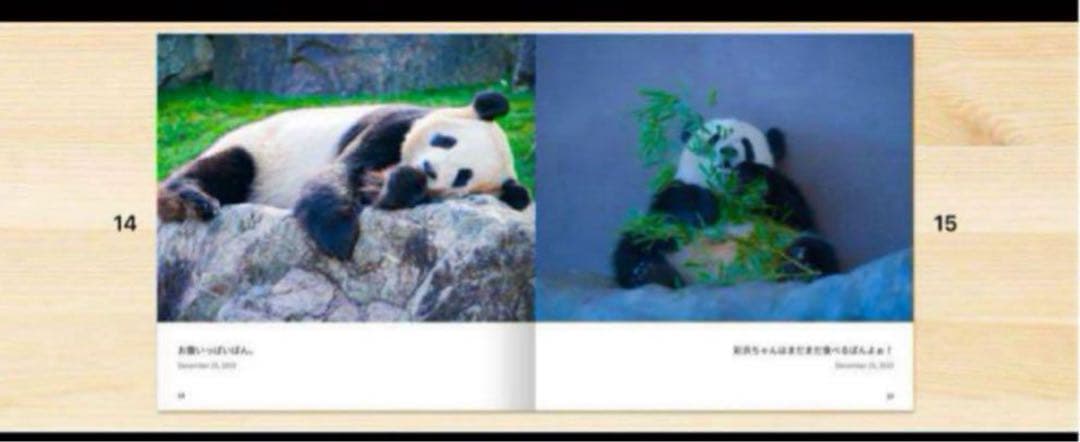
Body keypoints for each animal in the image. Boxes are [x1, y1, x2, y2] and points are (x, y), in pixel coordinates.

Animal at [157, 91, 531, 260]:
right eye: (445, 140)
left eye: (462, 176)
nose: (428, 168)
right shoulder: (391, 124)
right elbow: (341, 171)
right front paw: (340, 237)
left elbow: (373, 190)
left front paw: (403, 184)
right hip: (256, 149)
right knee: (230, 165)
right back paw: (192, 200)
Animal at [612, 118, 839, 289]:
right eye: (714, 139)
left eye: (747, 144)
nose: (728, 151)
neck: (725, 194)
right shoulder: (675, 188)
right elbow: (671, 204)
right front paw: (705, 207)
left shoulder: (784, 201)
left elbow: (794, 211)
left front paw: (749, 177)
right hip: (671, 245)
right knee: (636, 244)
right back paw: (651, 273)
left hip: (782, 240)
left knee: (818, 249)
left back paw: (799, 263)